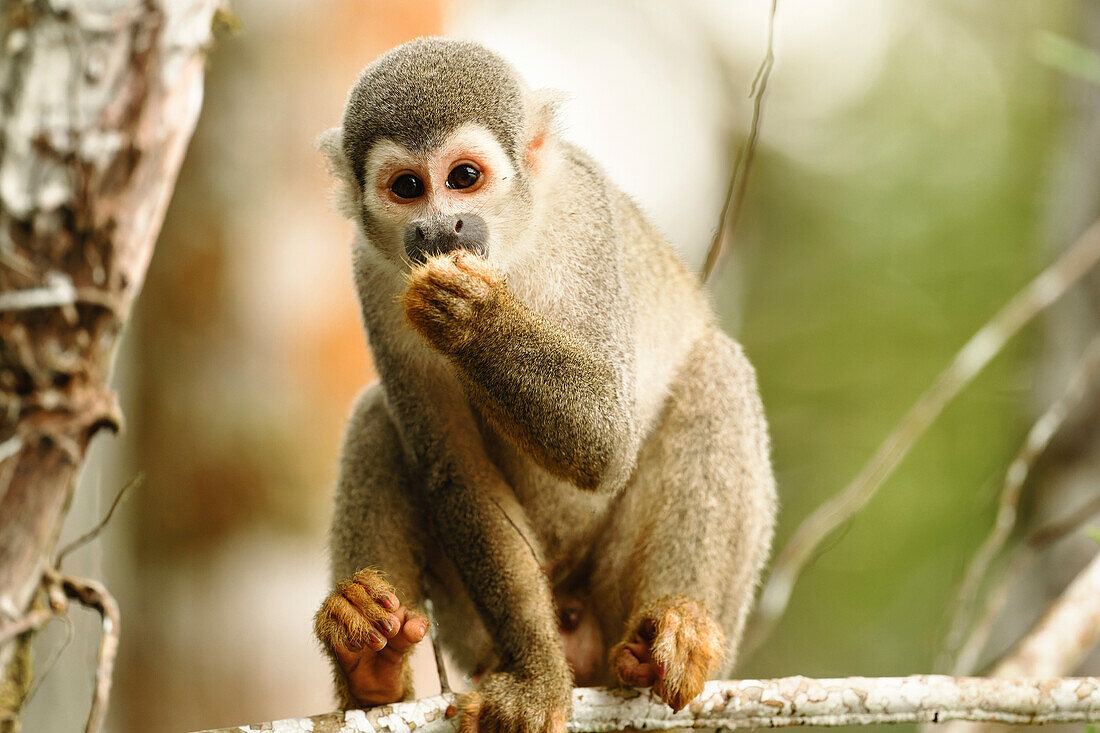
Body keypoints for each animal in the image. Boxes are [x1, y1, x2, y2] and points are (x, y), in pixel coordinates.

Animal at [310, 38, 778, 730]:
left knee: (717, 371)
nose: (439, 230)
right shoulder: (369, 272)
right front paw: (535, 674)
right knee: (377, 413)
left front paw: (471, 319)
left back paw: (677, 630)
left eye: (463, 178)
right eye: (407, 188)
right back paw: (371, 661)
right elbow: (458, 474)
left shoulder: (584, 215)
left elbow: (605, 437)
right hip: (469, 631)